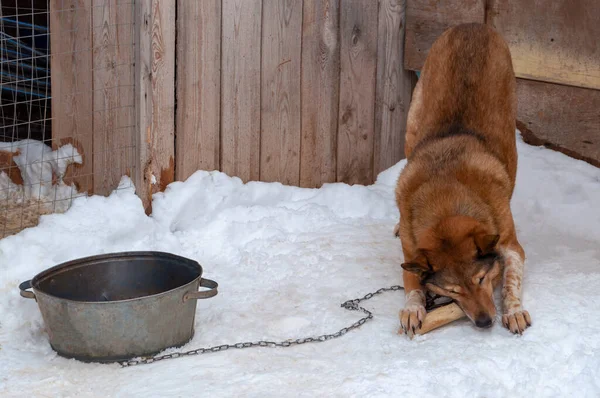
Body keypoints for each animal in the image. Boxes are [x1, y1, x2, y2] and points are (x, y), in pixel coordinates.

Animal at [396, 23, 532, 338]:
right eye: (453, 290)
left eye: (481, 279)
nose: (484, 322)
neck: (446, 201)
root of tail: (472, 25)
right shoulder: (411, 251)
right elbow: (412, 283)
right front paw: (412, 308)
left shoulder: (510, 244)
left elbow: (512, 279)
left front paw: (514, 311)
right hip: (413, 125)